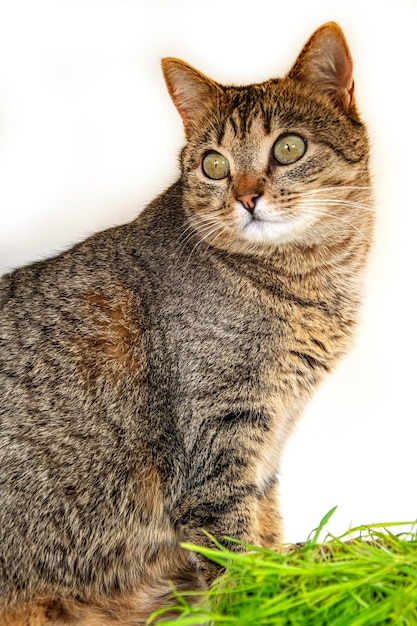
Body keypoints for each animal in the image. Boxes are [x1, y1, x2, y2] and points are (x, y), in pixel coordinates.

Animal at [0, 22, 374, 624]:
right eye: (214, 164)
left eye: (288, 147)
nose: (247, 196)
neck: (308, 285)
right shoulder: (218, 437)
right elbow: (235, 550)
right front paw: (259, 598)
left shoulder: (266, 442)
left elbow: (265, 528)